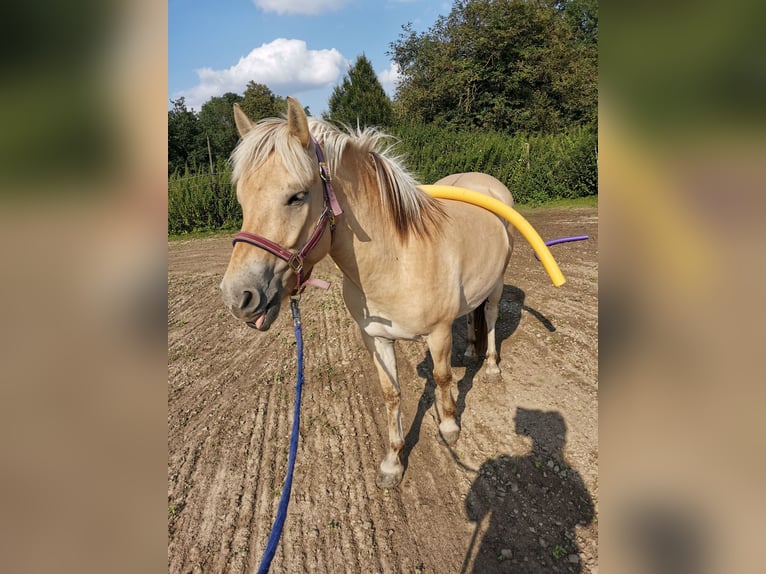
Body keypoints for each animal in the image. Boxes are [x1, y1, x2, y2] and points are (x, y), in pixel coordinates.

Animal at [222, 99, 516, 490]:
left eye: (297, 196)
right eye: (241, 199)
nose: (238, 296)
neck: (398, 260)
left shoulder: (438, 334)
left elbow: (442, 379)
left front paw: (449, 426)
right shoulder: (376, 338)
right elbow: (392, 395)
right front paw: (392, 463)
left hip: (497, 282)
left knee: (493, 315)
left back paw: (492, 365)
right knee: (473, 313)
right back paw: (469, 349)